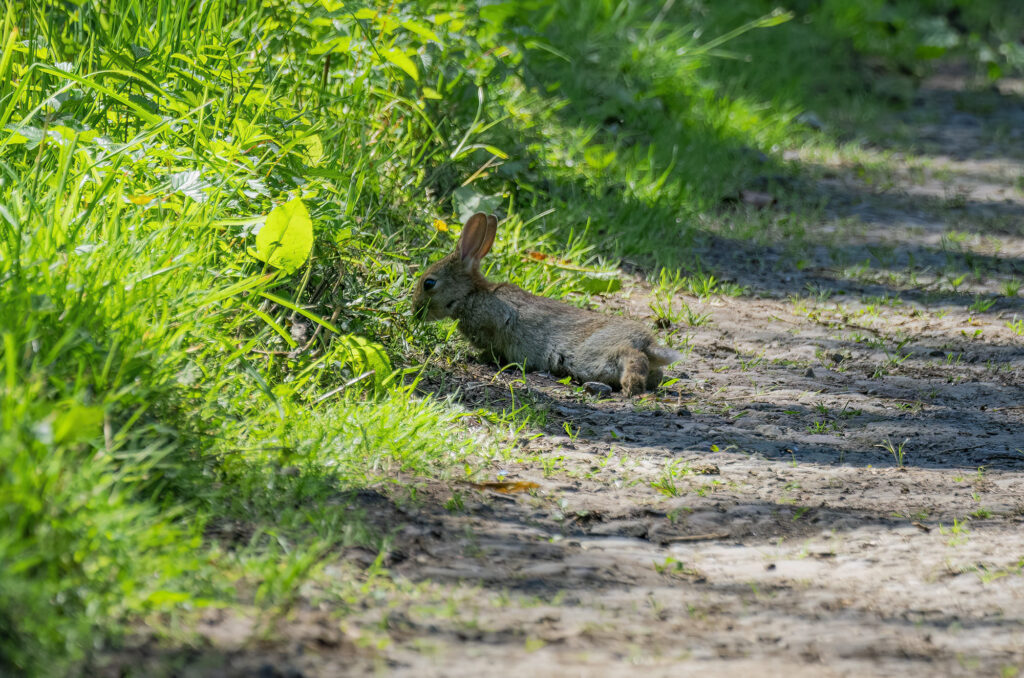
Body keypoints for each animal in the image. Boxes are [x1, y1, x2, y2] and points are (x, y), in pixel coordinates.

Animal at [412, 212, 683, 395]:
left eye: (429, 283)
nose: (415, 312)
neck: (471, 295)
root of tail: (647, 343)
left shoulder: (497, 321)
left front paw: (477, 357)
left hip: (595, 354)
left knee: (631, 357)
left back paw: (631, 386)